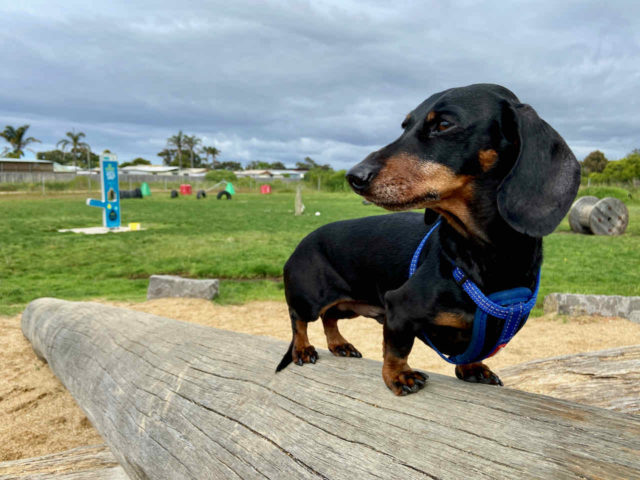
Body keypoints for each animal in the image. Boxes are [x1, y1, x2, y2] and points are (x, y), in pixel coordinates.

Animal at [276, 83, 580, 394]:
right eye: (405, 126)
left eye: (443, 124)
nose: (354, 176)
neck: (486, 254)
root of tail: (303, 241)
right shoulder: (398, 308)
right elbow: (397, 348)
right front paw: (399, 375)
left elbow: (471, 352)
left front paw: (473, 368)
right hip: (308, 298)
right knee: (299, 320)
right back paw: (303, 348)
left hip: (349, 306)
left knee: (330, 318)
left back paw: (340, 344)